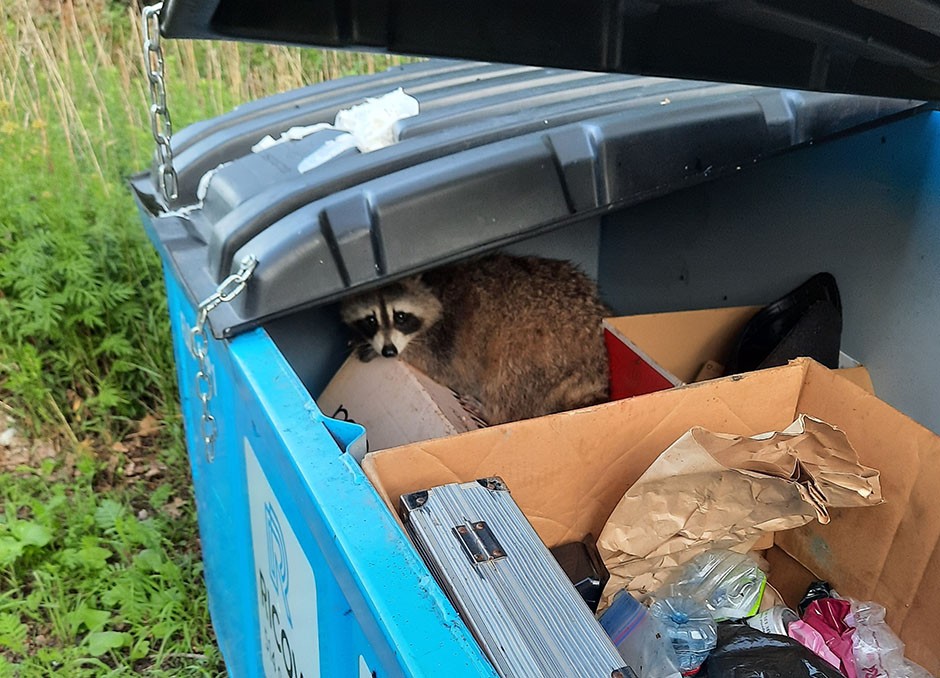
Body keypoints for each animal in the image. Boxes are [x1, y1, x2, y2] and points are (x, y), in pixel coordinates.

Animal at [342, 255, 612, 424]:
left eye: (400, 316)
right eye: (370, 320)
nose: (388, 351)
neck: (434, 285)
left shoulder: (449, 336)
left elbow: (439, 366)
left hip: (539, 348)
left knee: (509, 381)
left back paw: (494, 412)